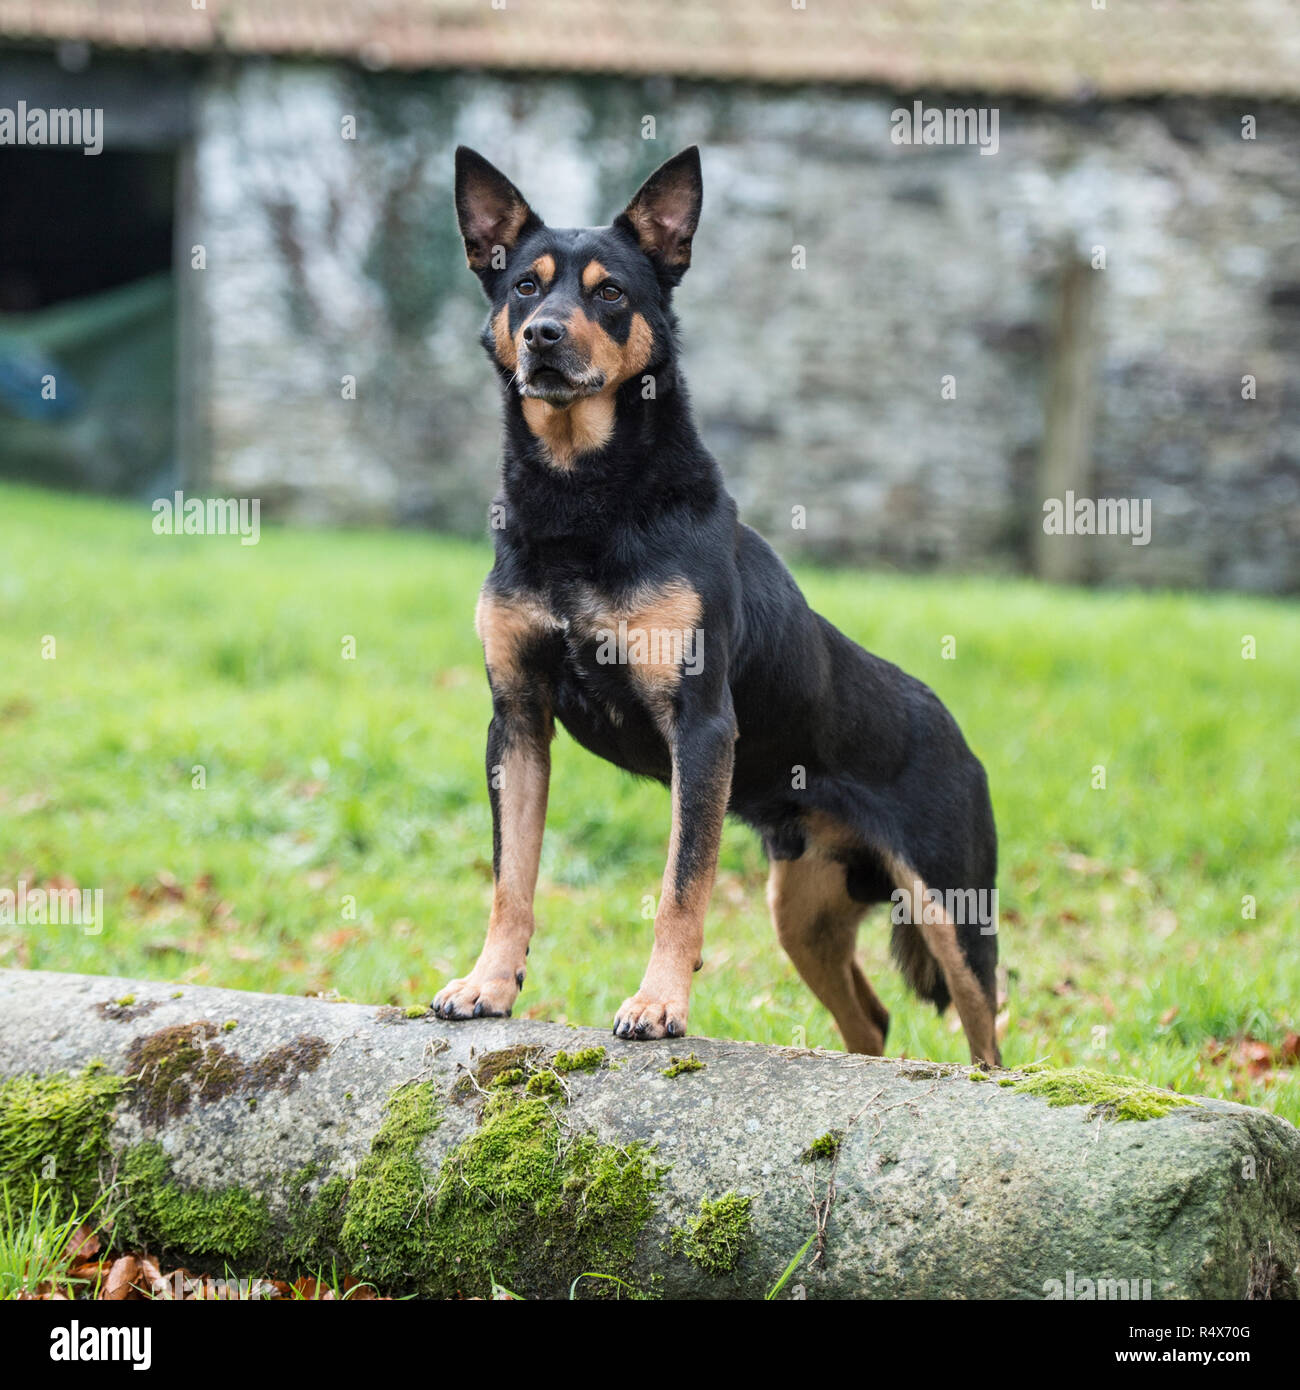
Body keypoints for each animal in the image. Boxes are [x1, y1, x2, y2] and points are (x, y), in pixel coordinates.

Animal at [431, 146, 1001, 1061]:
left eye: (611, 293)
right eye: (523, 285)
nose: (543, 336)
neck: (582, 500)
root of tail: (956, 730)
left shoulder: (699, 727)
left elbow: (680, 886)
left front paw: (659, 1005)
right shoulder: (515, 720)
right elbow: (510, 876)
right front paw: (488, 985)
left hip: (953, 907)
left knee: (987, 1036)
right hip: (803, 908)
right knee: (871, 1020)